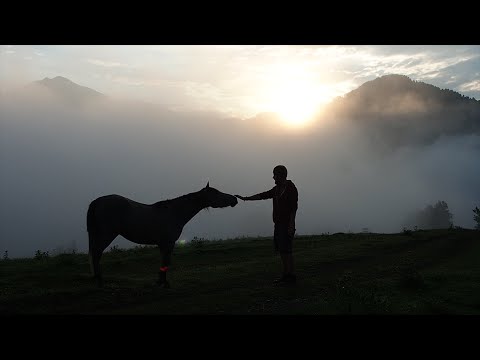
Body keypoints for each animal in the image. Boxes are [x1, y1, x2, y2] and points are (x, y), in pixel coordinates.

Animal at [87, 183, 238, 286]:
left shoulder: (162, 243)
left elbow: (163, 261)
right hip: (106, 234)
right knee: (97, 253)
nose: (234, 199)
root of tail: (97, 201)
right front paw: (164, 283)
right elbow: (166, 261)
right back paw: (99, 278)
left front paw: (160, 280)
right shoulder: (169, 243)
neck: (174, 212)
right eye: (216, 193)